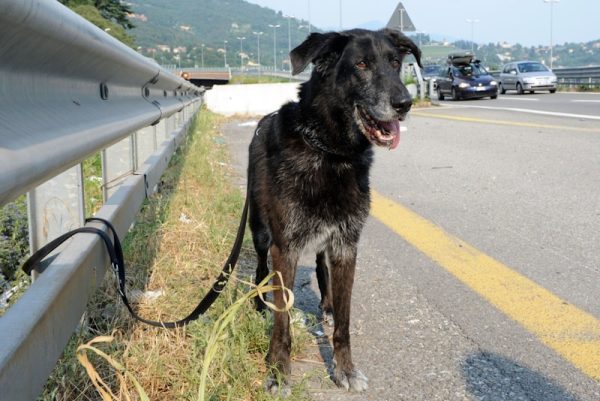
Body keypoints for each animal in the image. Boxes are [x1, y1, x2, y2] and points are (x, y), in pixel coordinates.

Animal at [247, 28, 422, 394]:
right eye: (361, 64)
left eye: (395, 63)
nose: (404, 104)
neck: (331, 151)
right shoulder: (284, 248)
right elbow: (282, 323)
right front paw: (278, 371)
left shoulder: (346, 245)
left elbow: (344, 321)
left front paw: (346, 369)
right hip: (259, 231)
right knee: (259, 268)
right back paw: (258, 304)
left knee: (319, 265)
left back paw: (325, 305)